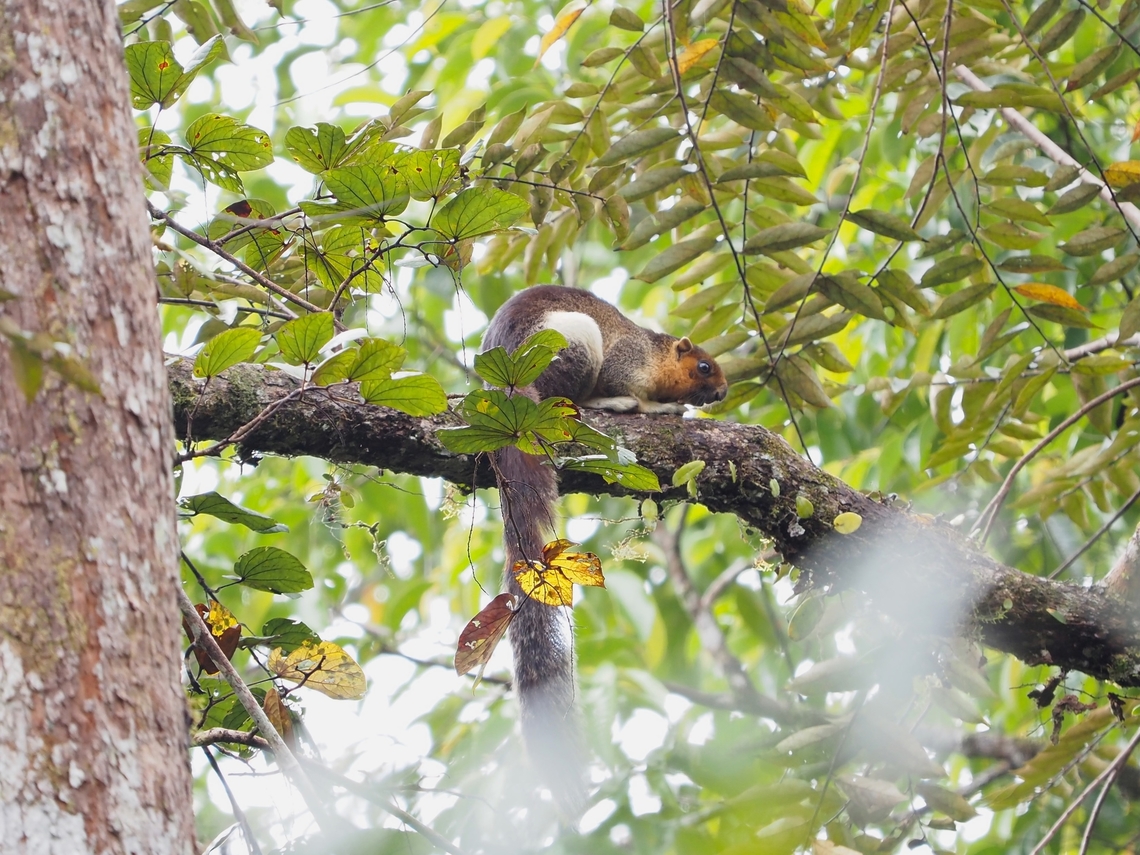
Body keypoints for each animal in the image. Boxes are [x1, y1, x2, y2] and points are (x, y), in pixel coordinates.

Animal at [480, 284, 728, 813]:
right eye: (703, 366)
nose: (722, 393)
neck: (654, 352)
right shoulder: (625, 360)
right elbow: (638, 390)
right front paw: (657, 408)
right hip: (575, 342)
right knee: (572, 395)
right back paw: (612, 402)